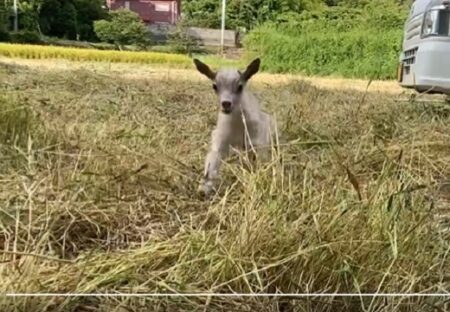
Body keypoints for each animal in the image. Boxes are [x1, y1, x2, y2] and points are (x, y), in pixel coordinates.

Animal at [193, 57, 278, 196]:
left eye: (240, 86)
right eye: (214, 86)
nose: (226, 104)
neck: (237, 126)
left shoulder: (258, 142)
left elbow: (262, 161)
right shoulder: (220, 140)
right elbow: (212, 159)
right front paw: (204, 187)